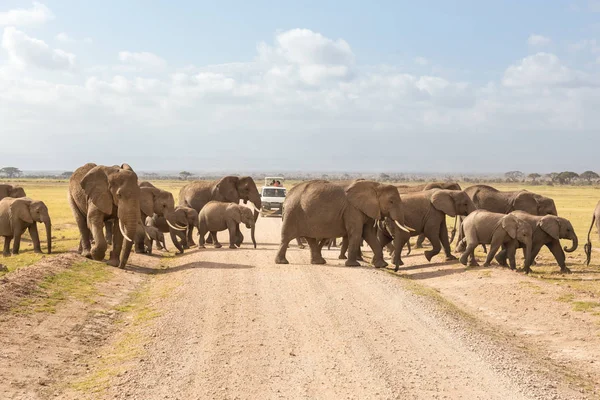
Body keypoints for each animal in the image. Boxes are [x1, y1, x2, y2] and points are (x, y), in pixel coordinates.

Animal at [274, 180, 410, 268]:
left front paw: (382, 265)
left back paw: (319, 262)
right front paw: (353, 265)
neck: (375, 185)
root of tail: (287, 197)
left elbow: (369, 234)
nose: (395, 268)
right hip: (293, 213)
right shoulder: (352, 209)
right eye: (391, 201)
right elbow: (356, 233)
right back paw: (282, 262)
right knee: (286, 237)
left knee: (310, 239)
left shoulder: (368, 209)